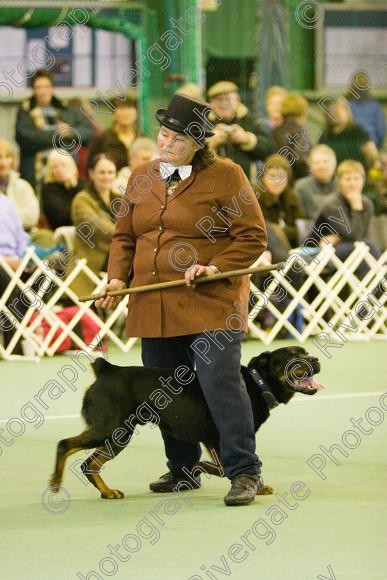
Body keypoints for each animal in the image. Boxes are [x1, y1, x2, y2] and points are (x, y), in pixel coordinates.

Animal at [50, 346, 324, 500]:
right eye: (293, 357)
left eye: (306, 353)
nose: (316, 359)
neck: (258, 383)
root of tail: (107, 369)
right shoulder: (219, 437)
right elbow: (223, 467)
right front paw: (201, 468)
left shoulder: (211, 439)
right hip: (111, 429)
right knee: (65, 445)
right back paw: (55, 482)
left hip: (118, 434)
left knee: (89, 464)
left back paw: (107, 492)